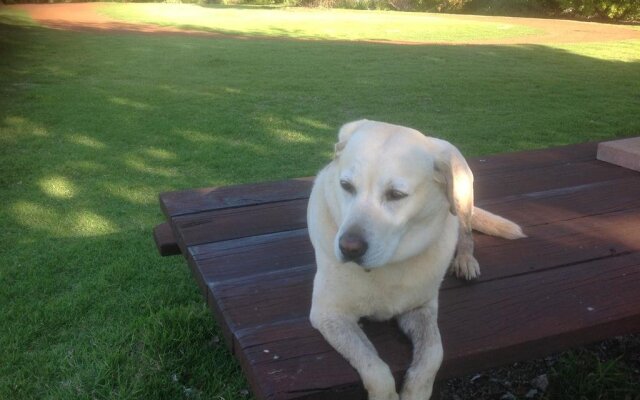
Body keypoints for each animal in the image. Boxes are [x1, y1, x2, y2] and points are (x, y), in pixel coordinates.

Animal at [306, 120, 524, 400]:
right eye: (346, 186)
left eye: (396, 194)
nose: (349, 247)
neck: (386, 268)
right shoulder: (329, 314)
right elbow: (374, 366)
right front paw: (387, 395)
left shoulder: (421, 308)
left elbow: (434, 353)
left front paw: (416, 391)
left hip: (462, 192)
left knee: (465, 231)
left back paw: (465, 260)